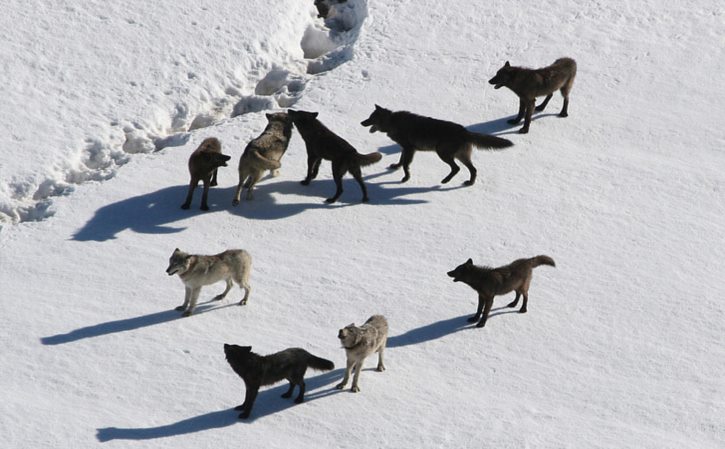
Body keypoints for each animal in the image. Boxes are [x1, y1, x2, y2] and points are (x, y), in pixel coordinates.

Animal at [360, 104, 512, 184]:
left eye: (370, 118)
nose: (361, 122)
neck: (392, 122)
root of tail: (465, 131)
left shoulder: (409, 149)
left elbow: (405, 165)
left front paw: (406, 178)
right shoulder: (405, 148)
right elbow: (401, 161)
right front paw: (395, 167)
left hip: (442, 153)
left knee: (457, 168)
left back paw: (445, 180)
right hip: (461, 156)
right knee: (473, 169)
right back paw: (469, 183)